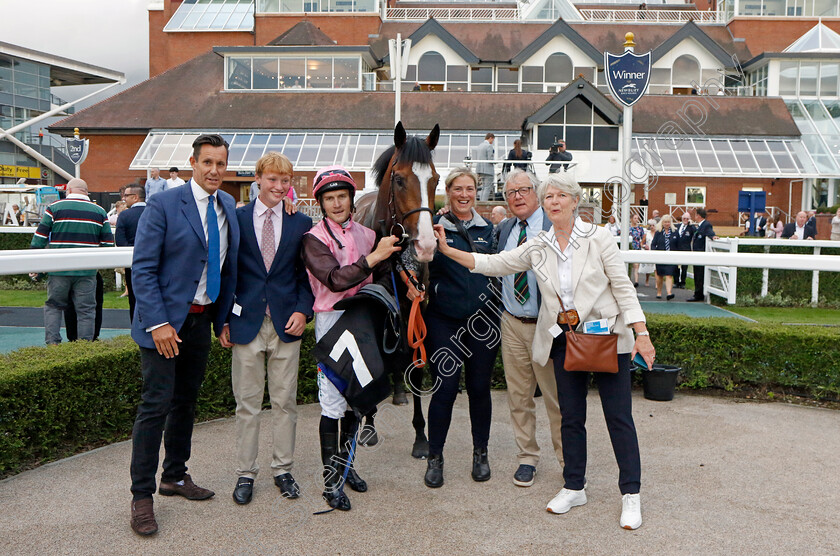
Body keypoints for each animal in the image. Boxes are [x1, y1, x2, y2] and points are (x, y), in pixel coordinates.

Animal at [352, 120, 440, 456]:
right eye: (400, 179)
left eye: (435, 179)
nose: (426, 245)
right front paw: (369, 425)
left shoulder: (418, 308)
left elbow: (414, 363)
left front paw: (421, 436)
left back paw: (400, 392)